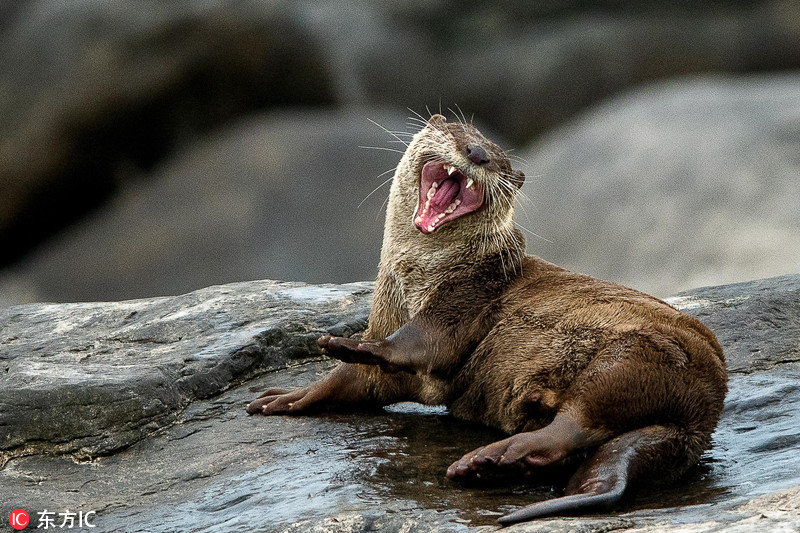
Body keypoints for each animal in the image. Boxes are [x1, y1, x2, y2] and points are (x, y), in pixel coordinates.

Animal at [247, 114, 728, 524]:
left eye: (498, 161)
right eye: (463, 137)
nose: (477, 154)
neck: (416, 278)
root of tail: (705, 411)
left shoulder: (467, 297)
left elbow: (418, 344)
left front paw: (349, 344)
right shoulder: (387, 317)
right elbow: (355, 380)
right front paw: (287, 397)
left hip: (636, 356)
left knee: (578, 424)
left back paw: (486, 459)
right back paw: (494, 468)